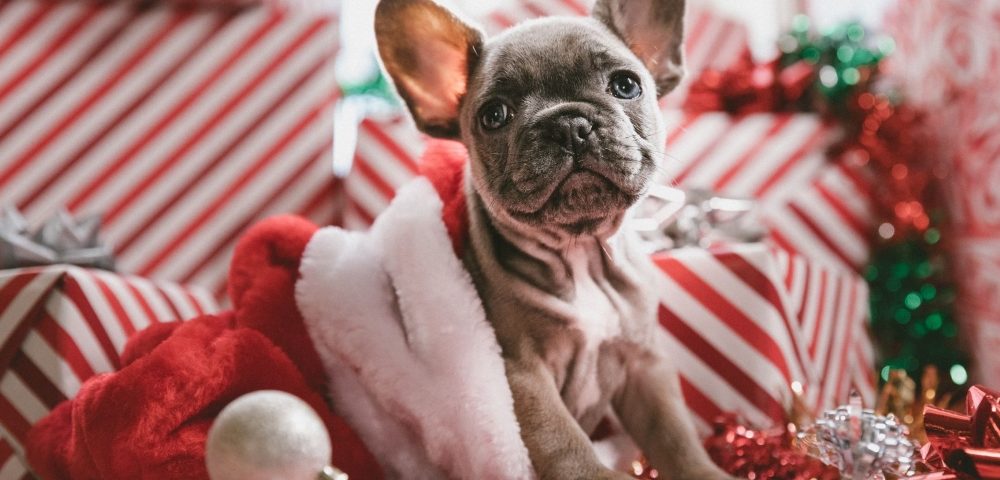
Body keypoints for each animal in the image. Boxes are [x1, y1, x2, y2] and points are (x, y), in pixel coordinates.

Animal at [376, 1, 736, 478]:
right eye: (494, 115)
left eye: (626, 85)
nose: (567, 123)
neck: (579, 251)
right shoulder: (523, 376)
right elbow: (566, 444)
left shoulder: (645, 365)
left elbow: (675, 435)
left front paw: (705, 471)